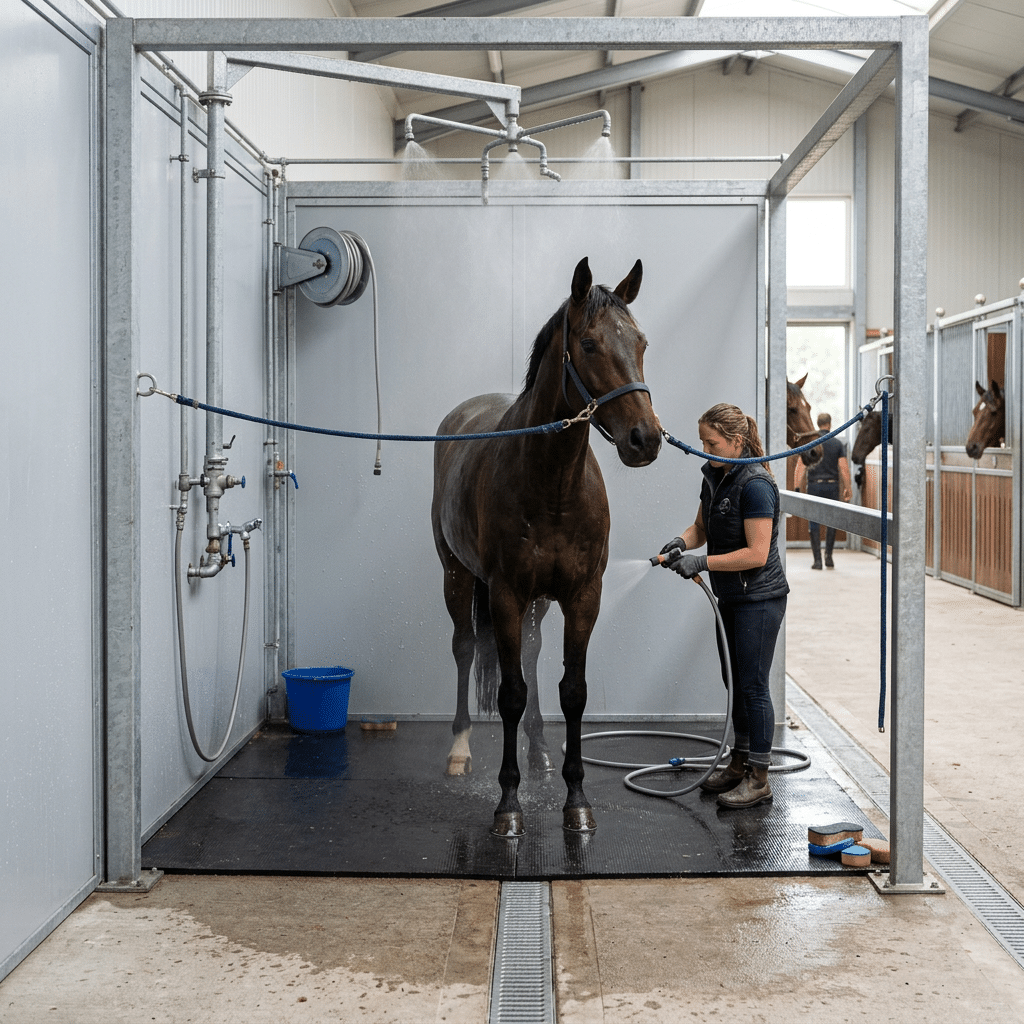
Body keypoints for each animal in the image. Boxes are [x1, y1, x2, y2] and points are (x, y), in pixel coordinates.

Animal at [431, 256, 662, 837]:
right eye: (588, 344)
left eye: (641, 342)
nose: (646, 439)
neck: (553, 483)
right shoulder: (506, 594)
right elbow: (510, 692)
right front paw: (507, 803)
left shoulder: (583, 596)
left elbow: (570, 691)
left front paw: (576, 799)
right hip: (457, 576)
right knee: (464, 649)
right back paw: (460, 749)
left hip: (535, 601)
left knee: (532, 656)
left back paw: (537, 752)